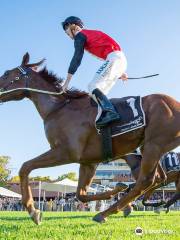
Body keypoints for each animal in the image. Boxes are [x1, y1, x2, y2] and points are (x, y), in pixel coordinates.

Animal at [0, 53, 180, 225]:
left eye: (7, 73)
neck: (57, 108)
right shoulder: (88, 161)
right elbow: (81, 194)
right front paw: (116, 191)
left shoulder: (65, 152)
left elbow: (25, 167)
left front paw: (33, 211)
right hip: (148, 148)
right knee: (155, 180)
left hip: (153, 145)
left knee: (146, 181)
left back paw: (105, 213)